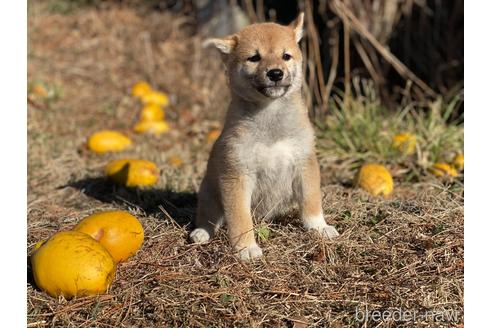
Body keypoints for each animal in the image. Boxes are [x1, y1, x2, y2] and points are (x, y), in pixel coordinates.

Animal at [190, 12, 340, 260]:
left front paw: (319, 227)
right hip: (210, 192)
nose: (276, 73)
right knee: (208, 217)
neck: (271, 120)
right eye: (254, 58)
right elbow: (240, 218)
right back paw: (201, 232)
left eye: (286, 56)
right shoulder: (237, 175)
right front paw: (246, 248)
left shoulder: (304, 163)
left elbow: (311, 201)